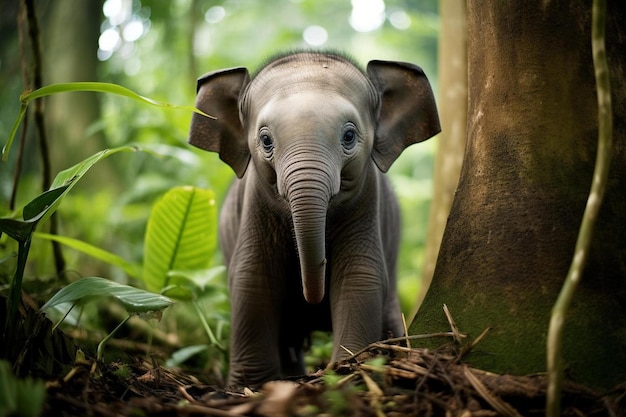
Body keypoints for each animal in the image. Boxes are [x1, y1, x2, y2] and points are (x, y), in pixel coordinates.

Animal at [190, 52, 438, 386]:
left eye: (349, 136)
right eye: (265, 141)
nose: (311, 299)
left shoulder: (367, 200)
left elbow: (359, 276)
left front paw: (349, 372)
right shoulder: (255, 204)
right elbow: (252, 278)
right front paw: (251, 385)